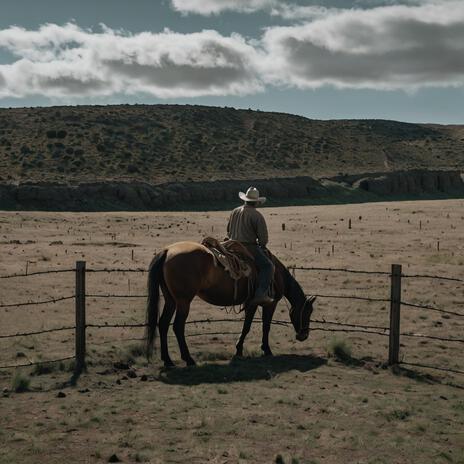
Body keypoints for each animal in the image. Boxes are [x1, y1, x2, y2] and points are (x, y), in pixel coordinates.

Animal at [147, 241, 318, 368]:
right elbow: (264, 326)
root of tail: (167, 251)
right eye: (307, 312)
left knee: (163, 324)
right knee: (177, 326)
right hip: (183, 302)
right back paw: (188, 359)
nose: (304, 335)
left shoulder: (251, 303)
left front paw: (239, 350)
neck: (277, 273)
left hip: (171, 300)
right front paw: (266, 349)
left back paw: (168, 361)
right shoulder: (270, 304)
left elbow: (247, 325)